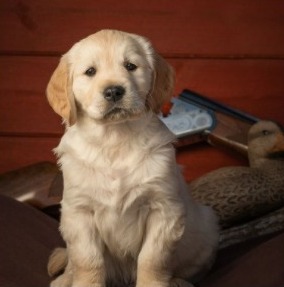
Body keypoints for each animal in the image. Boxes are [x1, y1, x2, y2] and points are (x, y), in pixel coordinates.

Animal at [46, 29, 217, 287]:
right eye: (90, 71)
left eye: (130, 66)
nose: (114, 91)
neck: (115, 140)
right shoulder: (78, 212)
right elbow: (88, 260)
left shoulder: (164, 209)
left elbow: (152, 258)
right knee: (73, 263)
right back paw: (64, 279)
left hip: (206, 231)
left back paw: (179, 281)